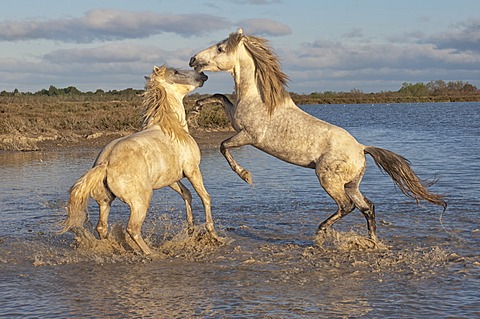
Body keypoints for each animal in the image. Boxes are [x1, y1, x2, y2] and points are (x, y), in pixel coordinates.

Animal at [58, 65, 221, 255]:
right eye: (176, 72)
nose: (203, 75)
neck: (173, 128)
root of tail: (105, 163)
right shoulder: (192, 170)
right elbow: (205, 197)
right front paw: (214, 235)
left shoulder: (170, 179)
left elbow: (186, 194)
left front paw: (191, 229)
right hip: (140, 201)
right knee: (133, 228)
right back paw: (152, 253)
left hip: (105, 201)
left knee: (101, 227)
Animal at [188, 28, 446, 246]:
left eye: (220, 48)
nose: (193, 60)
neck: (259, 99)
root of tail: (361, 148)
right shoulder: (234, 119)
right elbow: (220, 97)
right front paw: (195, 110)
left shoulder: (248, 135)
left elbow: (223, 146)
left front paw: (245, 176)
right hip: (350, 184)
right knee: (367, 207)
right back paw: (372, 242)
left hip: (328, 179)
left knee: (347, 206)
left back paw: (321, 233)